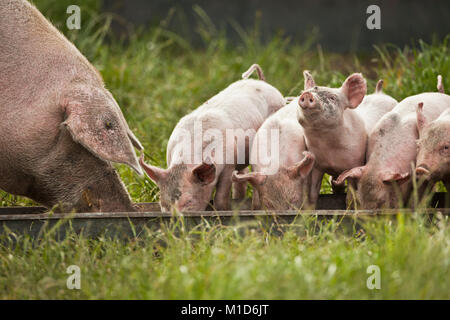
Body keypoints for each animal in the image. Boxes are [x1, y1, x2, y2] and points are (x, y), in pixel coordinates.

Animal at [140, 63, 284, 211]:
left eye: (188, 201)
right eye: (163, 204)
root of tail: (262, 82)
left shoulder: (229, 162)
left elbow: (220, 195)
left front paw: (222, 209)